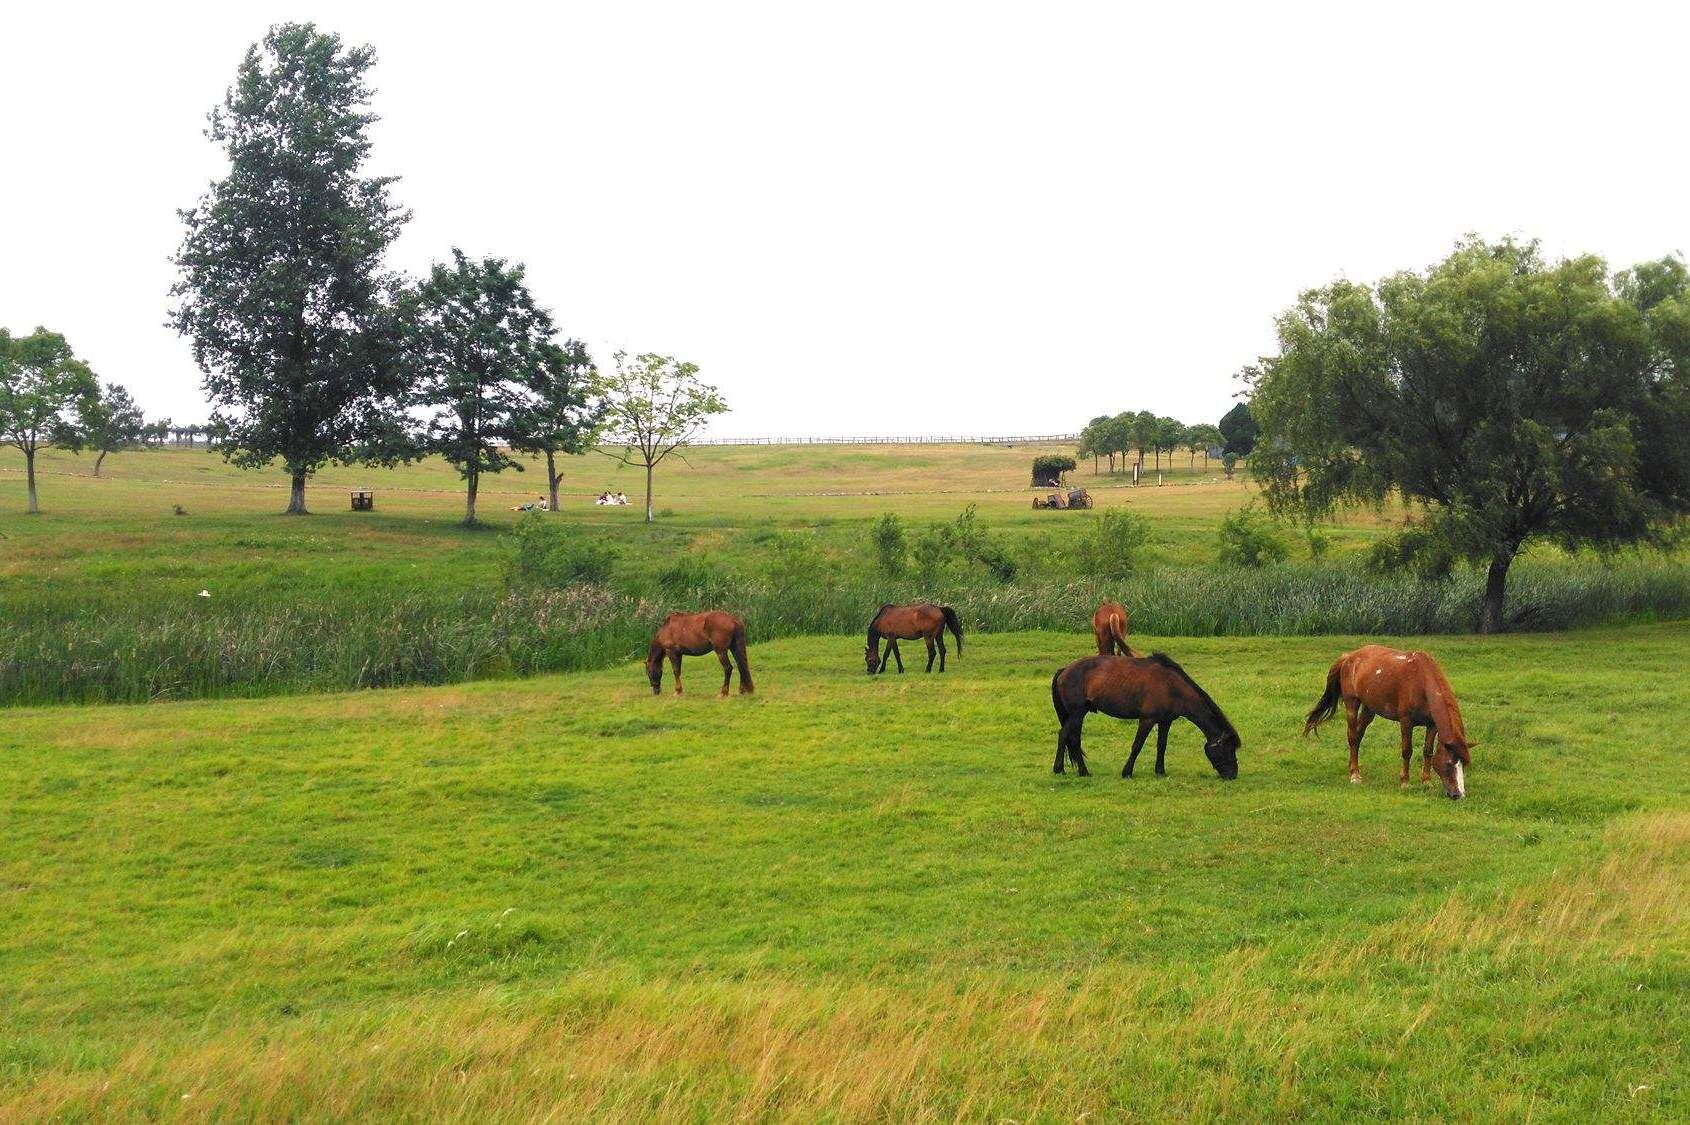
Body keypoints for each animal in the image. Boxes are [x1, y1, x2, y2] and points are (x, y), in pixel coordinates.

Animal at [1041, 652, 1243, 777]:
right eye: (1228, 749)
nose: (1232, 775)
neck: (1172, 686)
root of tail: (1064, 670)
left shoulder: (1165, 722)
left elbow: (1162, 746)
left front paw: (1160, 771)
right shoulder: (1147, 720)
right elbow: (1137, 746)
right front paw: (1127, 772)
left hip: (1077, 714)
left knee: (1071, 738)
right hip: (1077, 713)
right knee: (1066, 736)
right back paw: (1069, 770)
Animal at [1297, 638, 1473, 797]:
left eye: (1463, 764)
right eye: (1449, 763)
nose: (1459, 794)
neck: (1422, 682)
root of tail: (1348, 657)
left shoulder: (1432, 725)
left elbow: (1427, 751)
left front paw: (1426, 781)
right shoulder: (1406, 721)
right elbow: (1407, 750)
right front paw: (1405, 782)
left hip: (1369, 709)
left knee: (1358, 736)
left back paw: (1352, 766)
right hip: (1352, 703)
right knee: (1353, 737)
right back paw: (1354, 775)